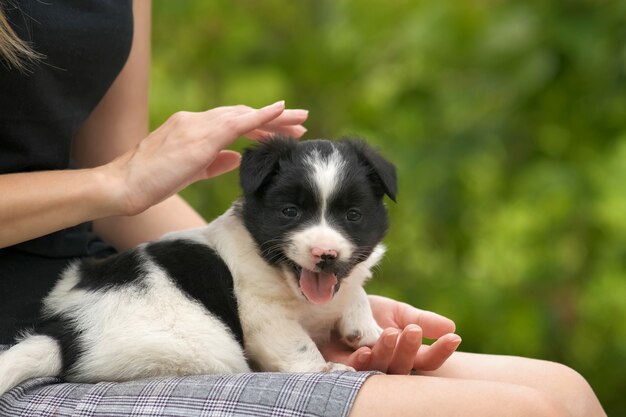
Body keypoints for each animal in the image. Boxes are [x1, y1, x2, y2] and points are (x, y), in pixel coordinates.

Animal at [1, 137, 394, 394]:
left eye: (353, 215)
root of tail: (64, 334)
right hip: (203, 350)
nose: (326, 254)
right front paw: (326, 368)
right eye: (290, 212)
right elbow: (297, 347)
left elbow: (355, 293)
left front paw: (366, 329)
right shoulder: (265, 317)